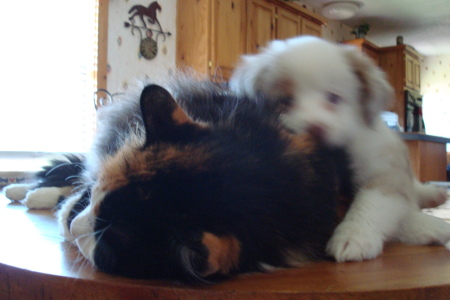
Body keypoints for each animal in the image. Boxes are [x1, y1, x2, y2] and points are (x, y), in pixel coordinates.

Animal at [5, 78, 354, 284]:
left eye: (108, 242)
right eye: (100, 197)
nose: (71, 227)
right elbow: (79, 182)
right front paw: (63, 206)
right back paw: (21, 191)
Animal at [230, 36, 448, 262]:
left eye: (333, 98)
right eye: (286, 101)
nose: (314, 128)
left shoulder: (383, 172)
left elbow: (371, 204)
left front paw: (354, 236)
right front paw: (424, 227)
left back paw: (434, 195)